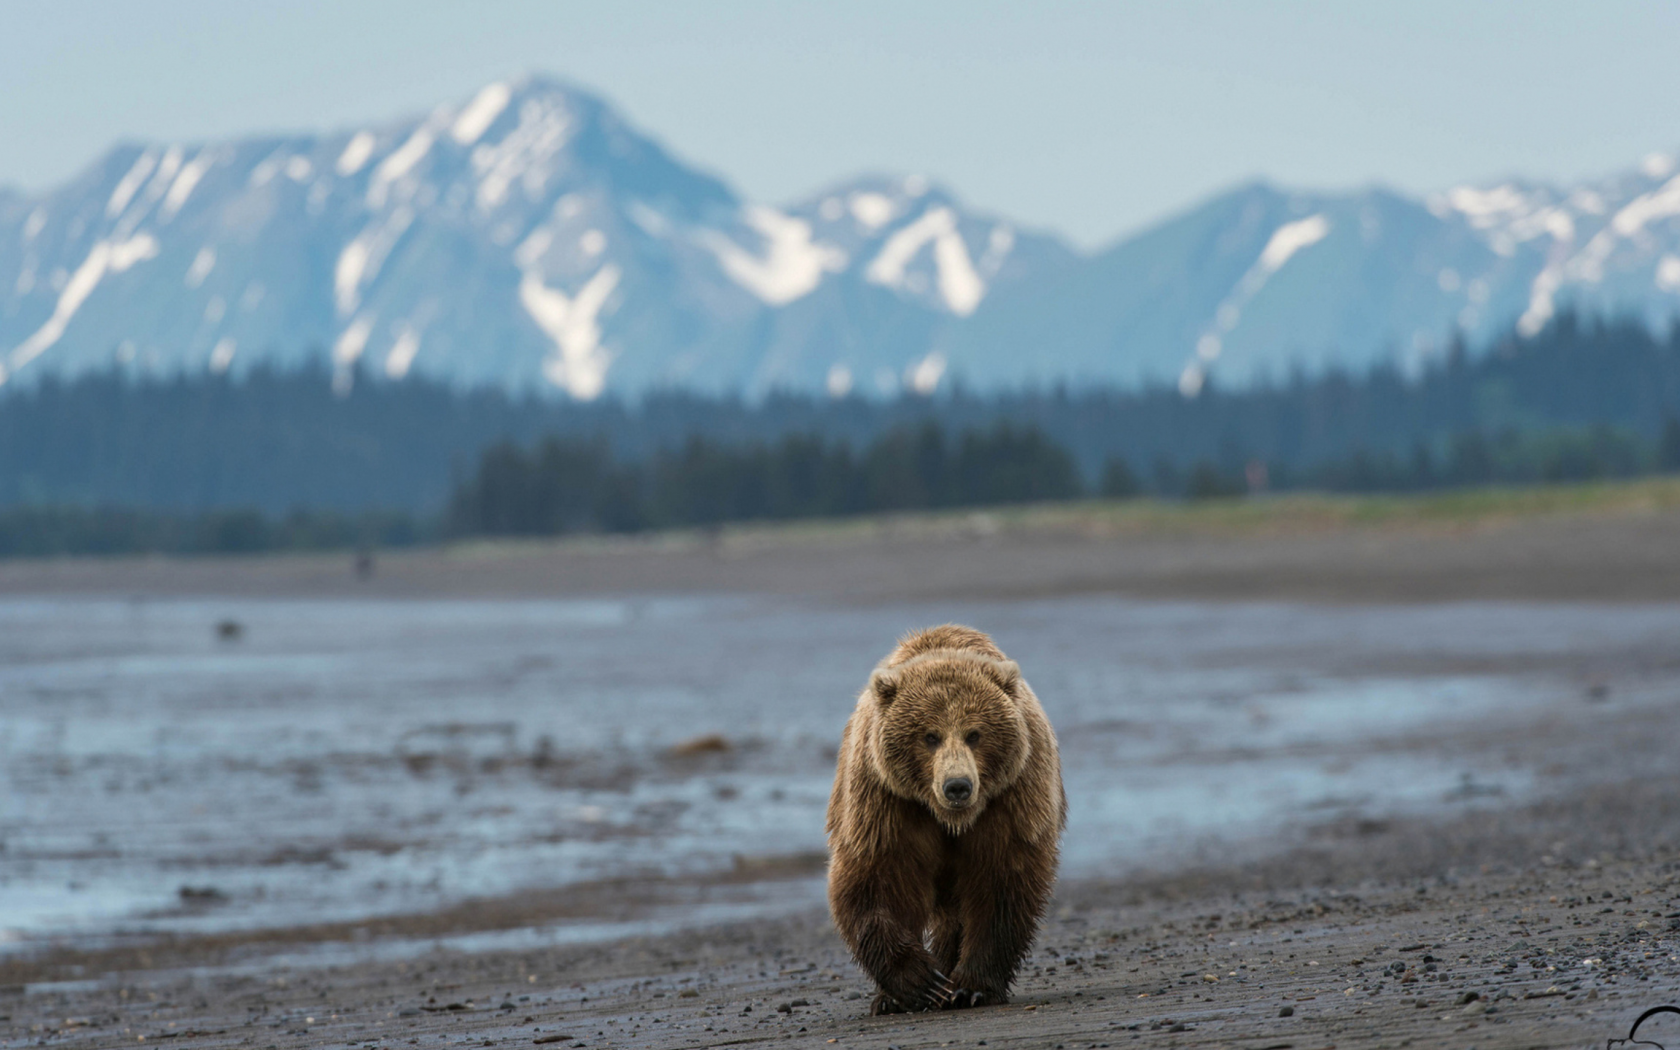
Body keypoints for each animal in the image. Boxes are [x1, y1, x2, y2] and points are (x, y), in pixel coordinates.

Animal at [823, 624, 1061, 1014]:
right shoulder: (886, 801)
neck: (950, 819)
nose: (957, 786)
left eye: (975, 733)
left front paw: (970, 987)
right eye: (929, 736)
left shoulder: (1010, 798)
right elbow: (877, 877)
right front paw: (919, 983)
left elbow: (1001, 881)